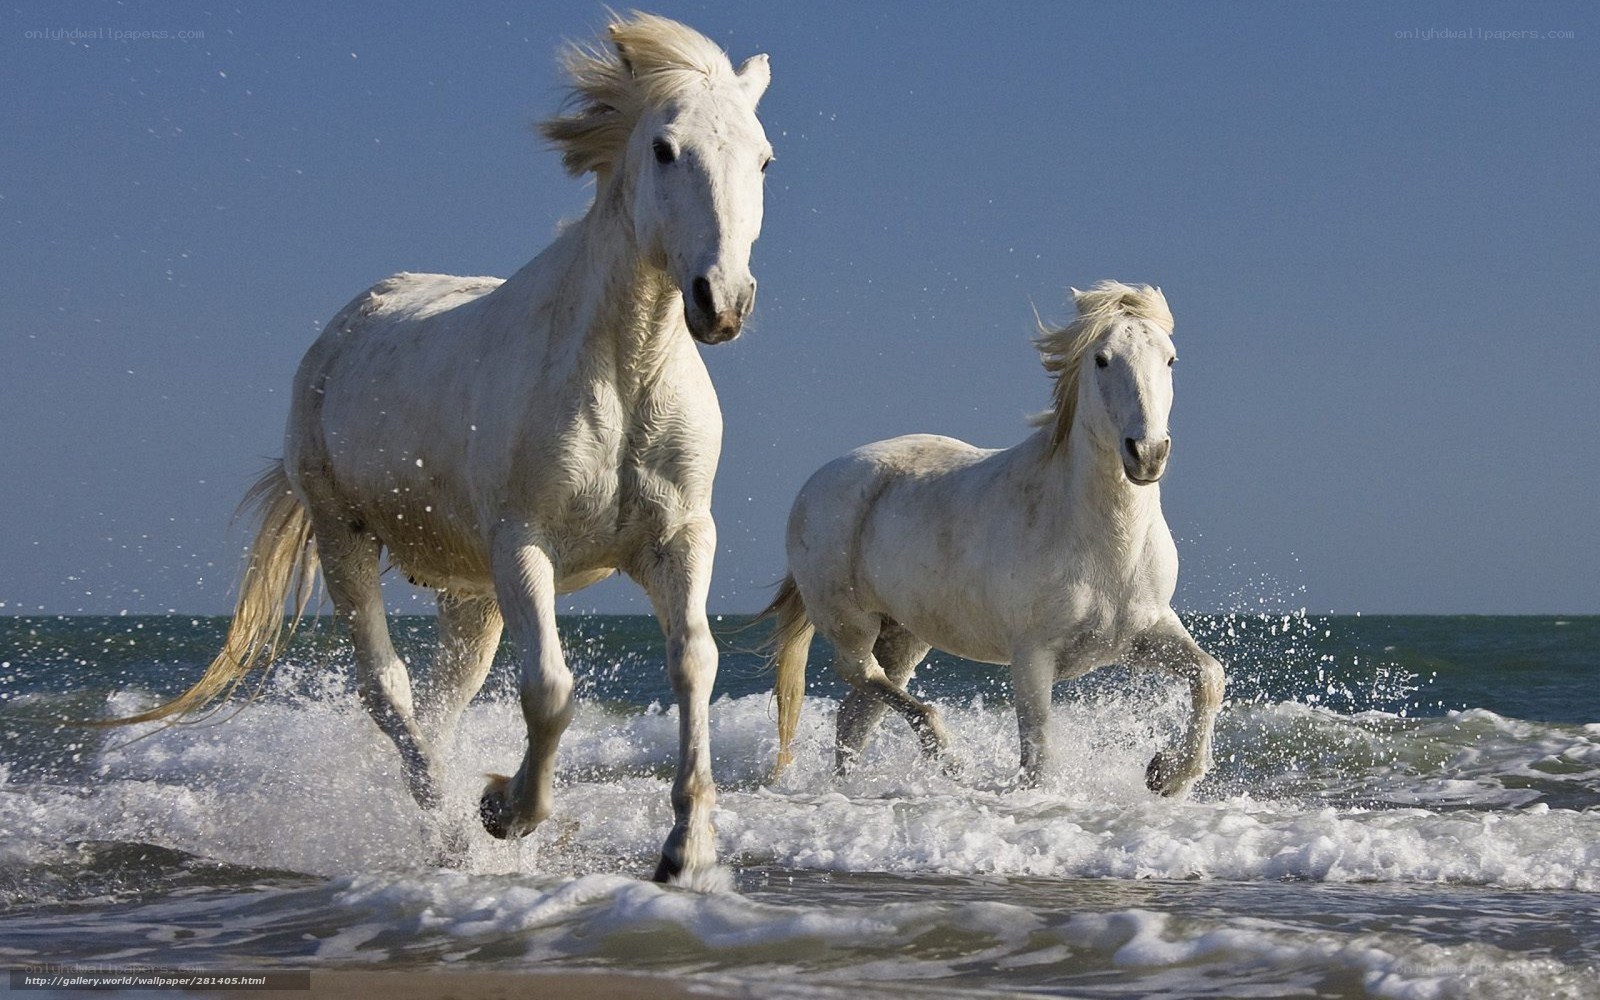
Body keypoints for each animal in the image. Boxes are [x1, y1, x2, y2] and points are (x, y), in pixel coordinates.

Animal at [105, 13, 774, 886]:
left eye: (763, 158)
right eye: (664, 148)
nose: (721, 302)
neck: (623, 369)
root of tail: (346, 325)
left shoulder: (680, 538)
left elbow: (694, 662)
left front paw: (685, 850)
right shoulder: (523, 543)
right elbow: (549, 688)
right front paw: (504, 811)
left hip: (471, 596)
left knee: (438, 704)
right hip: (346, 538)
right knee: (389, 693)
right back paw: (451, 829)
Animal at [763, 281, 1224, 796]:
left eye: (1170, 359)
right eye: (1102, 359)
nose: (1146, 454)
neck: (1105, 544)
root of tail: (817, 481)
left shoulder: (1144, 634)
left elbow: (1210, 675)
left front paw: (1166, 774)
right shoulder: (1032, 658)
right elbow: (1038, 757)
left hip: (903, 635)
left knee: (855, 715)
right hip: (850, 622)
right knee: (861, 675)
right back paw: (946, 756)